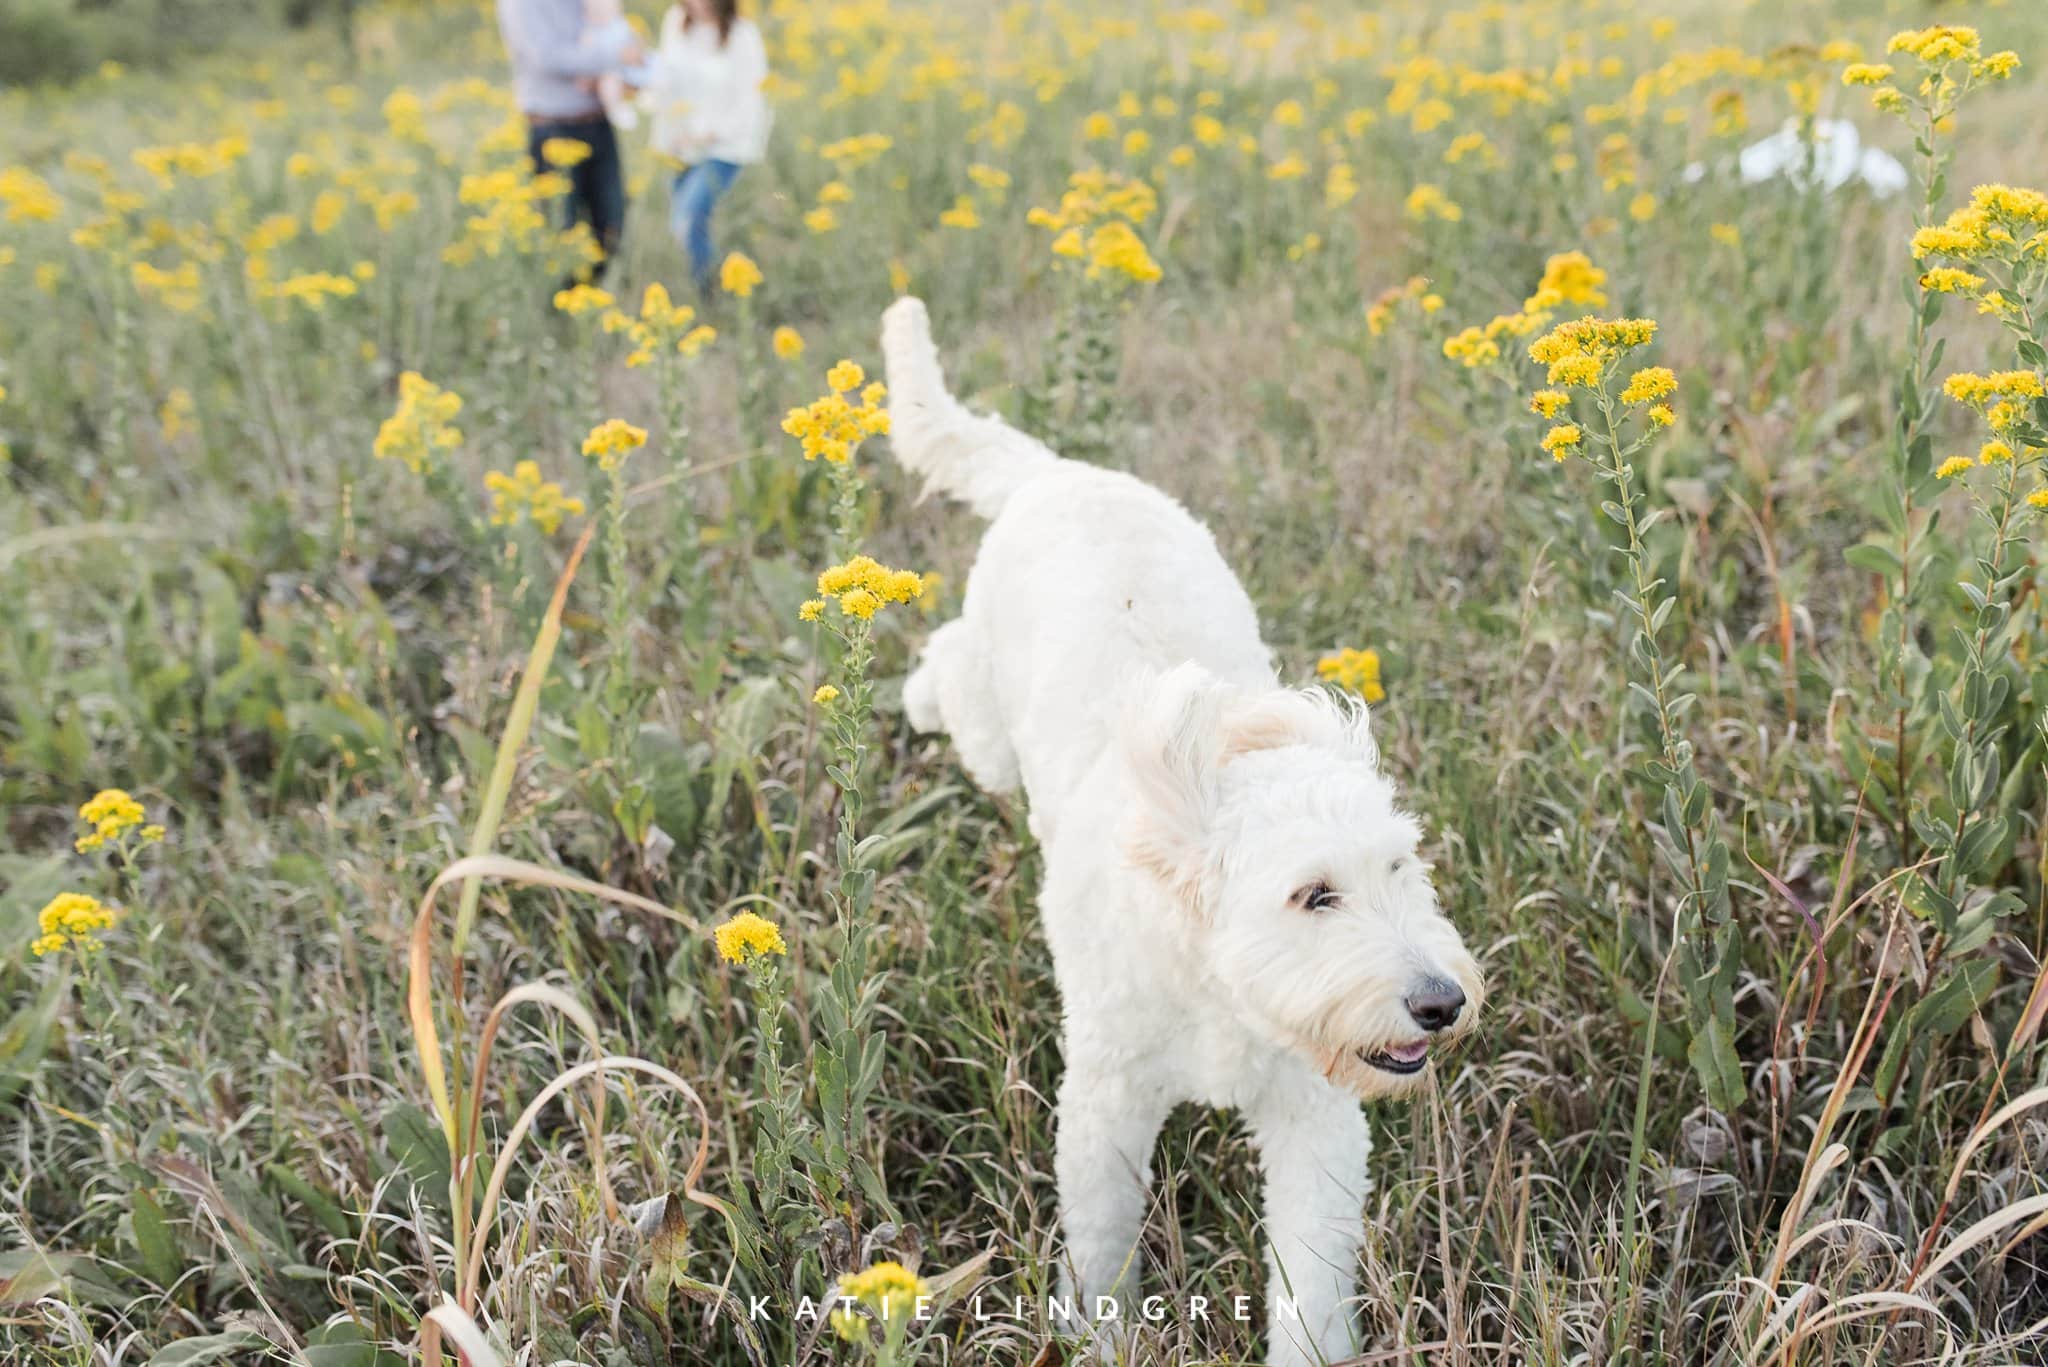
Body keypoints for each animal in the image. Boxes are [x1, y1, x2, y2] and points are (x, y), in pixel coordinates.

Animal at [872, 295, 1482, 1360]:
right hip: (986, 721)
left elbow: (1312, 1279)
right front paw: (1102, 1333)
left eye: (1402, 867)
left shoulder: (1316, 1120)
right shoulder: (1104, 1108)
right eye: (1313, 894)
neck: (1222, 992)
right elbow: (1104, 1241)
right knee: (947, 664)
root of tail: (1058, 471)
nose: (1441, 1002)